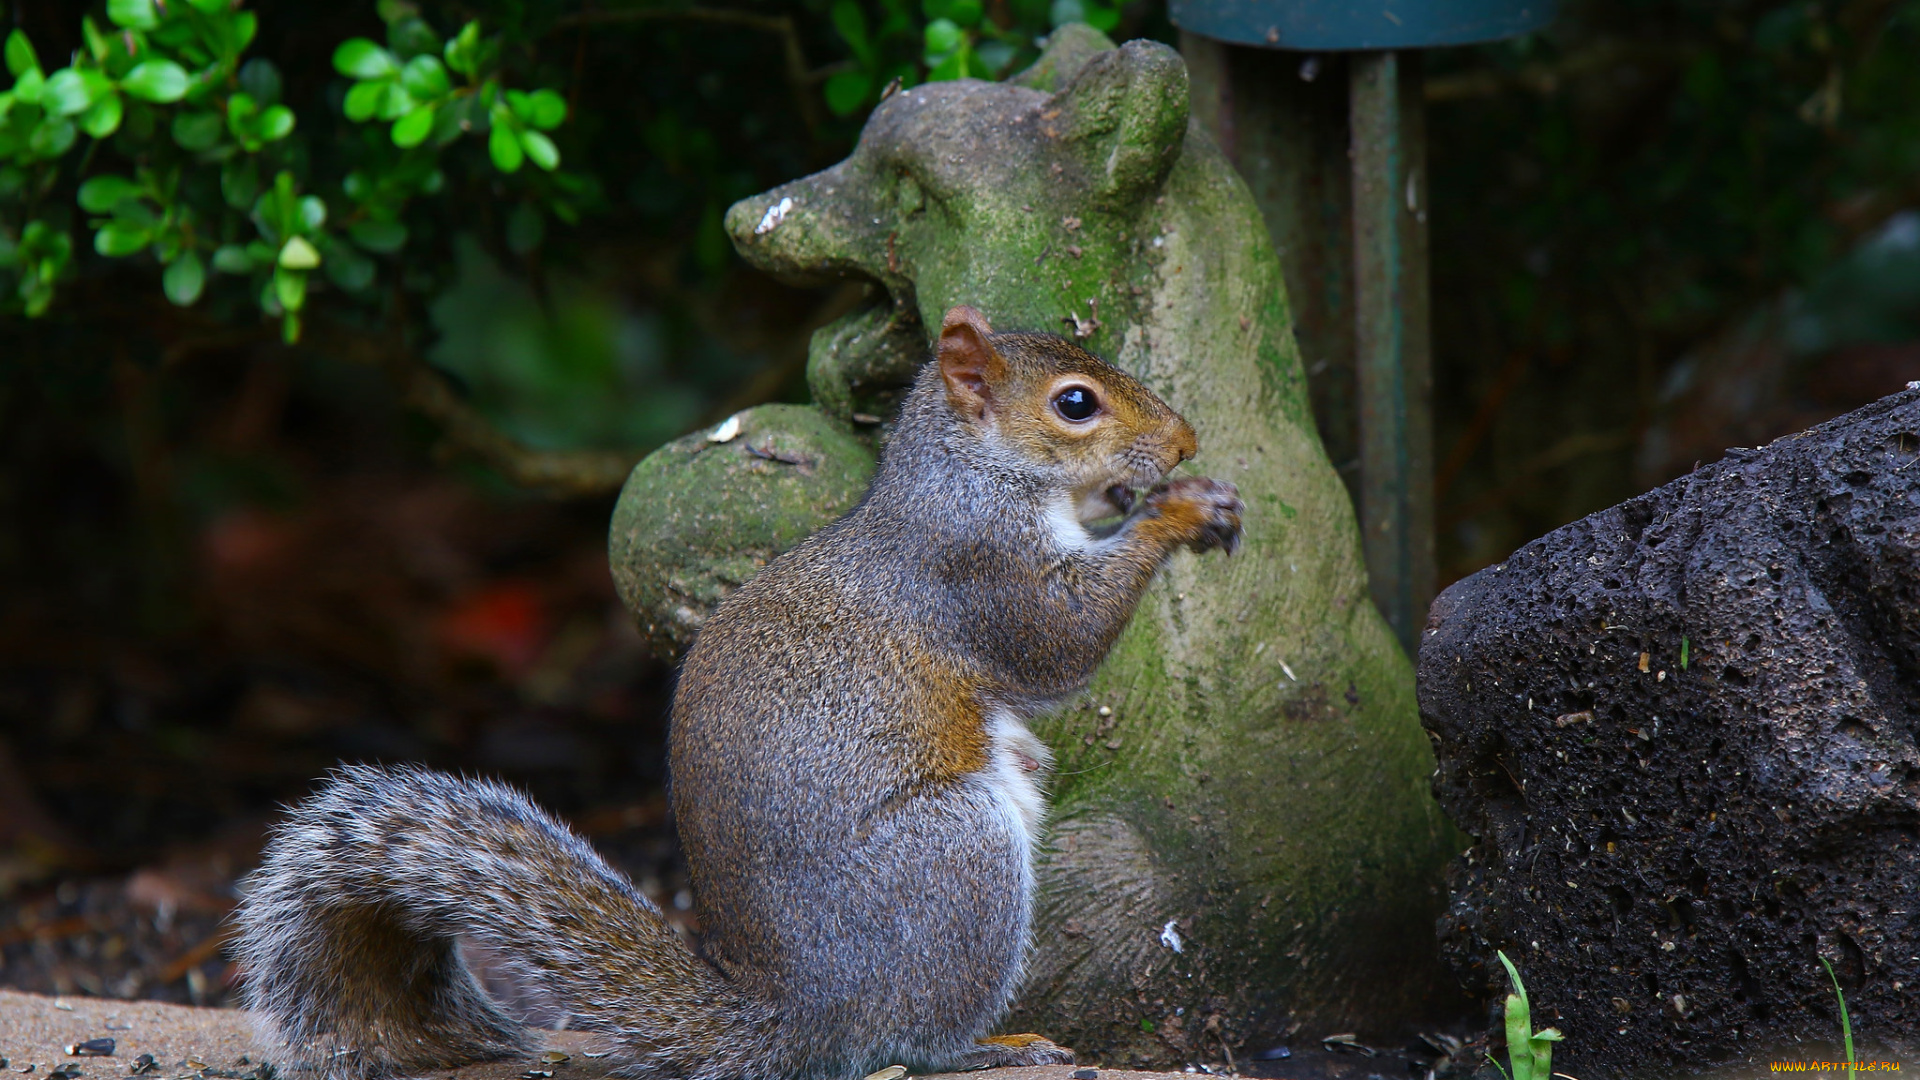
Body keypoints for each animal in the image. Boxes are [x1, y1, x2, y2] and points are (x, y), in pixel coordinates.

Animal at [232, 305, 1244, 1076]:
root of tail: (803, 1017)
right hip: (956, 861)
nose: (1185, 439)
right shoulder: (977, 571)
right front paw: (1178, 510)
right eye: (1075, 404)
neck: (973, 473)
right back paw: (994, 1044)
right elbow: (1061, 646)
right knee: (910, 1042)